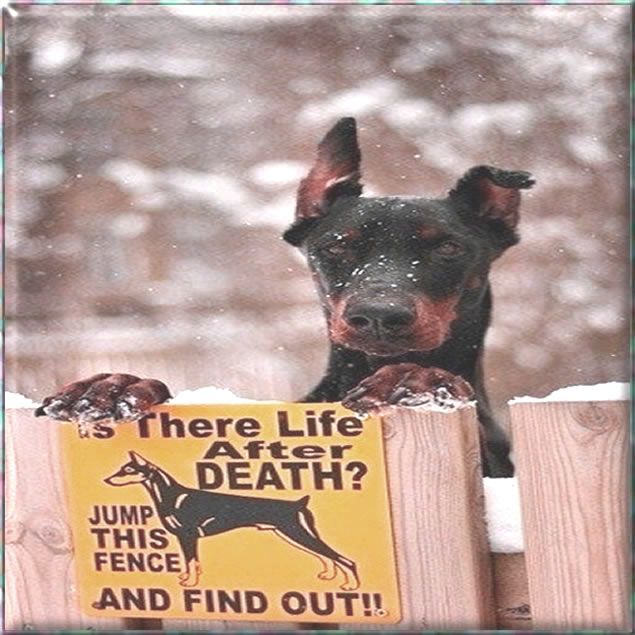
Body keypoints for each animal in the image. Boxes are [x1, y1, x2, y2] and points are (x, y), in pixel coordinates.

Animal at [105, 451, 359, 589]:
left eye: (128, 470)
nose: (107, 480)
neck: (169, 495)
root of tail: (300, 502)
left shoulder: (189, 535)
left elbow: (191, 561)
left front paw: (191, 584)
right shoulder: (183, 538)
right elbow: (190, 562)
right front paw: (187, 577)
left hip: (296, 532)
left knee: (344, 560)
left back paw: (351, 586)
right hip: (291, 534)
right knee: (327, 557)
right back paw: (328, 576)